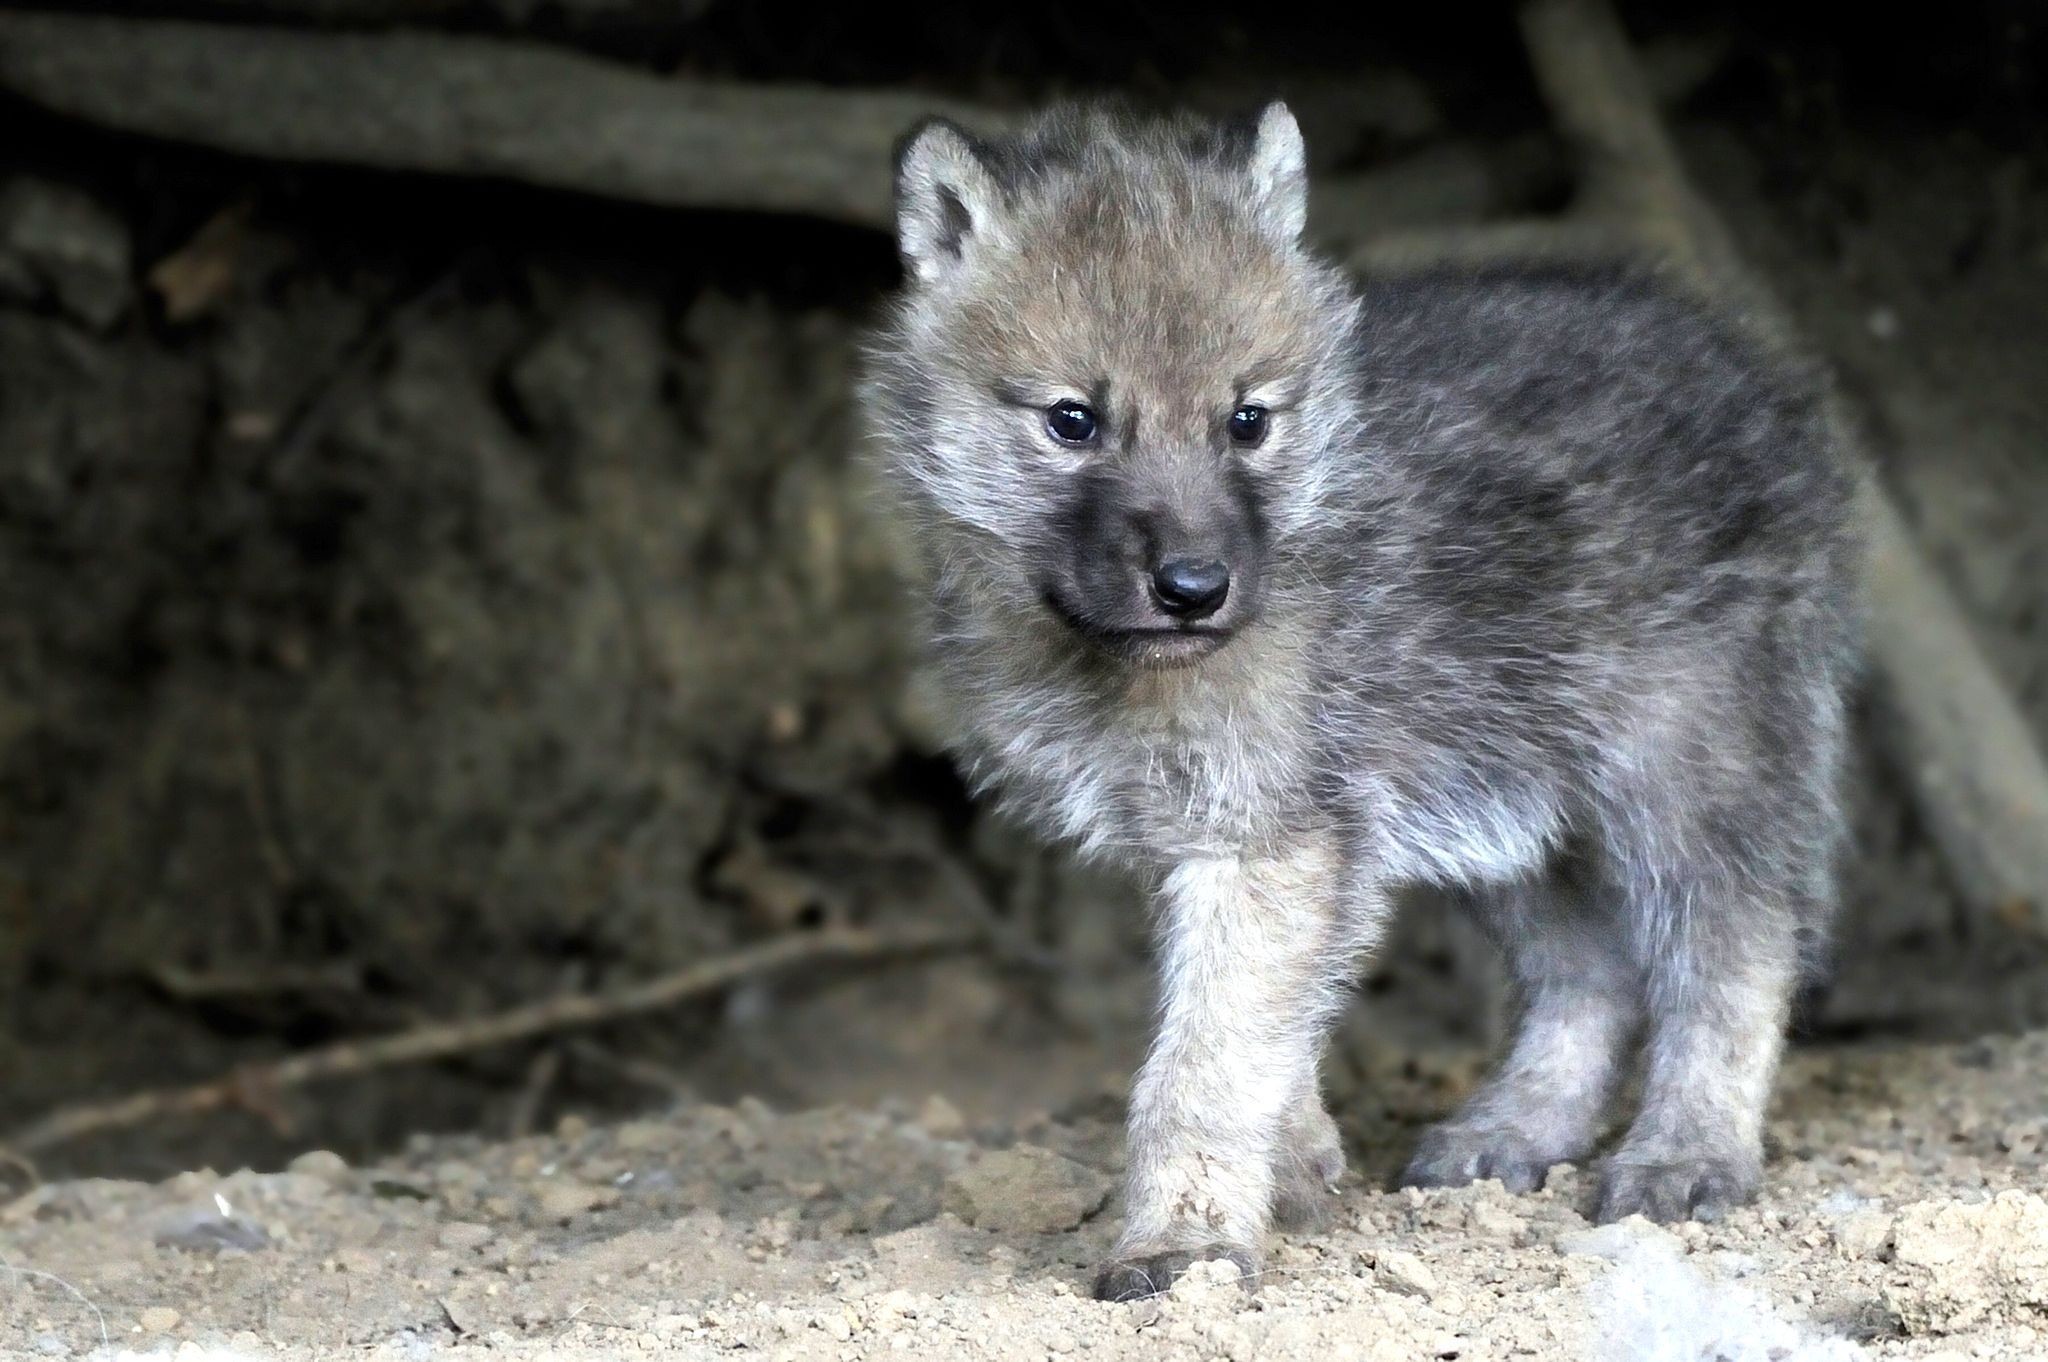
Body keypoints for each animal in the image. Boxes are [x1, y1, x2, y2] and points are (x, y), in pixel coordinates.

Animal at [861, 100, 1858, 1300]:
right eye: (1072, 421)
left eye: (1246, 421)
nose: (1194, 589)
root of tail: (1754, 378)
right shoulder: (1222, 837)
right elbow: (1262, 1028)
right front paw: (1292, 1167)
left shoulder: (1268, 840)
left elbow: (1202, 1066)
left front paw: (1185, 1243)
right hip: (1516, 801)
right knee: (1596, 974)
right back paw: (1510, 1131)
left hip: (1685, 765)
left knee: (1734, 949)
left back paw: (1685, 1154)